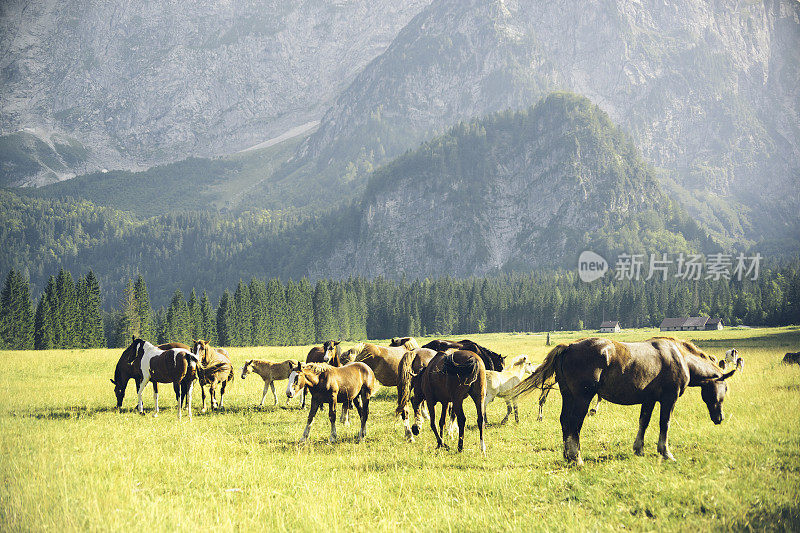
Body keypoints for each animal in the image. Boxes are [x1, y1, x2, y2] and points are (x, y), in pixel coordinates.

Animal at [512, 336, 744, 466]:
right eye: (725, 388)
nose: (719, 418)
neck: (680, 358)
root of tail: (569, 346)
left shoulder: (649, 400)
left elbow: (644, 422)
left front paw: (638, 448)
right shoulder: (668, 399)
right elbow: (664, 424)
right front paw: (665, 453)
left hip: (568, 396)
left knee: (564, 422)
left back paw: (567, 456)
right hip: (581, 398)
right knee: (574, 424)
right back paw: (576, 458)